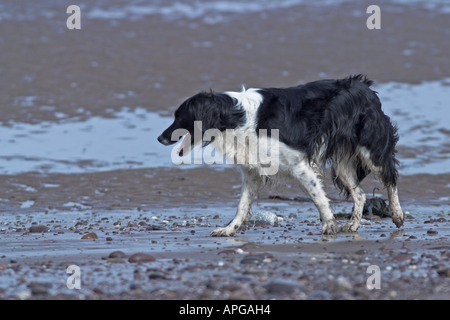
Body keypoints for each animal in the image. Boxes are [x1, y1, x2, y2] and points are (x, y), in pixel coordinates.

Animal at [158, 74, 404, 235]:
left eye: (180, 117)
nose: (160, 138)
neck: (237, 117)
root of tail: (364, 86)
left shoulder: (300, 165)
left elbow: (317, 196)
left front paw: (328, 225)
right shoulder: (252, 172)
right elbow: (242, 205)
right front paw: (229, 229)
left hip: (370, 149)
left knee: (390, 178)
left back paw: (397, 214)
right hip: (343, 162)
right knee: (360, 194)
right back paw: (353, 225)